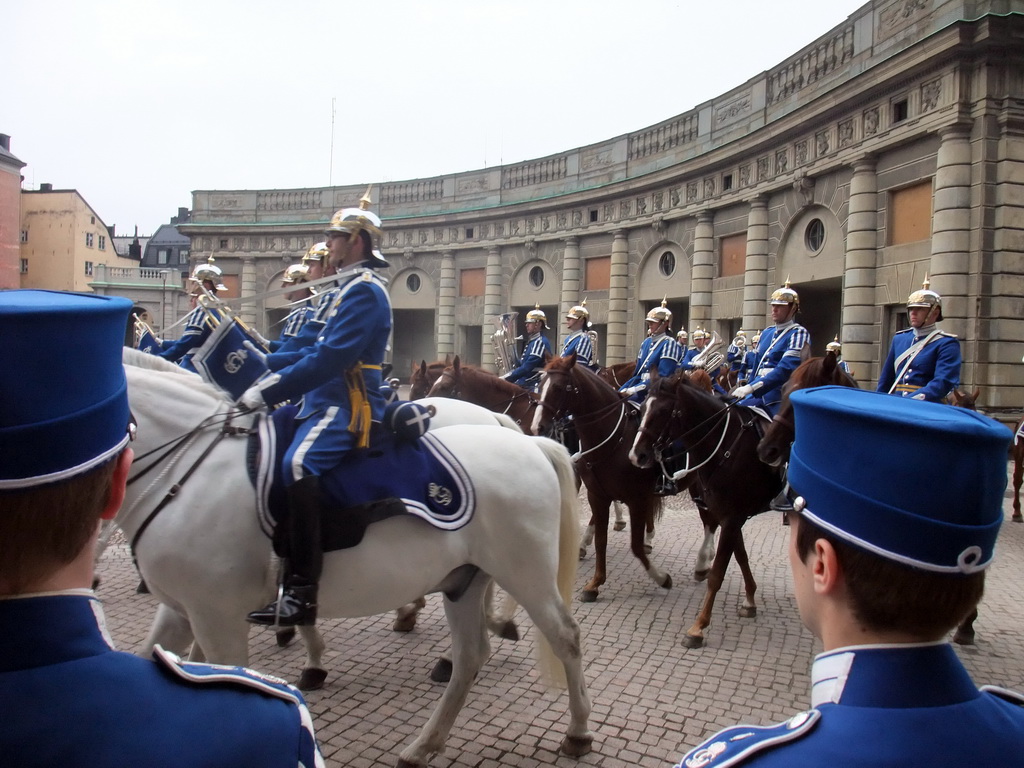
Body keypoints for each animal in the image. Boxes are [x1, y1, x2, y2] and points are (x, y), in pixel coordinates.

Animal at [116, 350, 593, 768]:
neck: (189, 473)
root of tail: (529, 443)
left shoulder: (216, 614)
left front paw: (309, 659)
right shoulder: (183, 610)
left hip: (525, 573)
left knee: (566, 637)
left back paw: (577, 731)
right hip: (465, 580)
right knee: (471, 655)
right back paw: (424, 743)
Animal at [532, 354, 675, 602]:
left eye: (558, 388)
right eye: (540, 386)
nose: (537, 426)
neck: (614, 439)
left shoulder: (636, 498)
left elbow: (635, 546)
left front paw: (661, 578)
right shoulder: (596, 494)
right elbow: (601, 539)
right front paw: (594, 584)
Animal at [626, 370, 778, 647]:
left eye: (664, 411)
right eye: (642, 409)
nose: (636, 455)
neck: (726, 446)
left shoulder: (733, 516)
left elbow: (719, 572)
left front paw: (698, 627)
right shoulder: (730, 514)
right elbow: (741, 555)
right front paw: (750, 599)